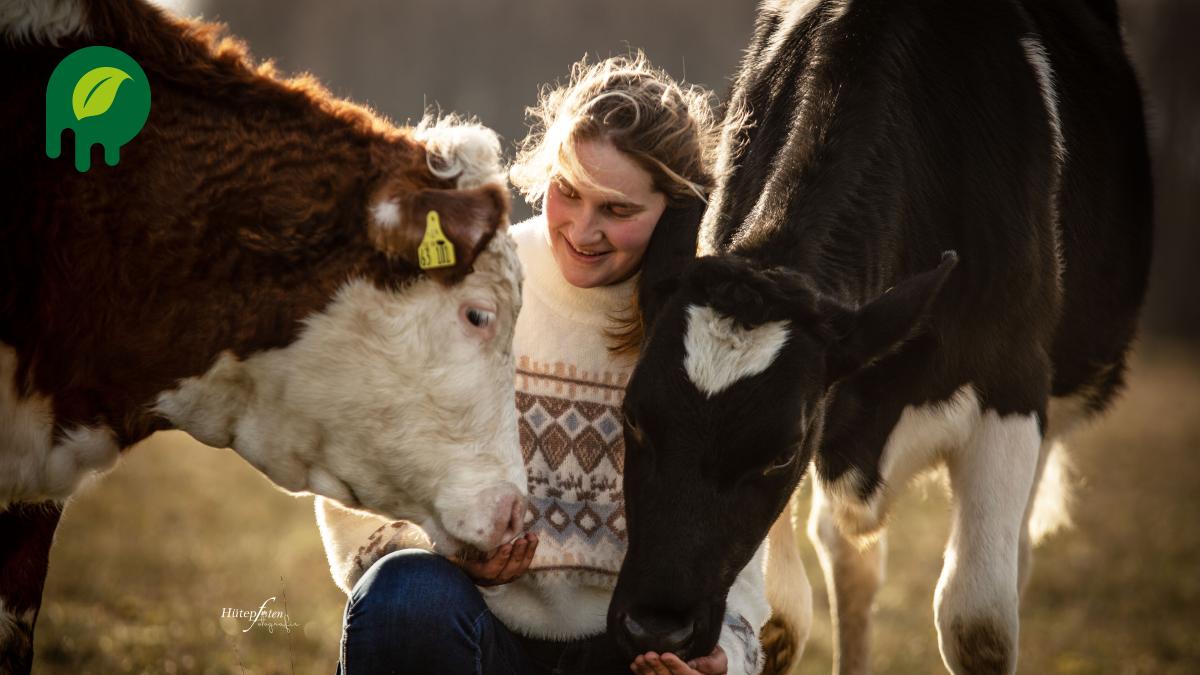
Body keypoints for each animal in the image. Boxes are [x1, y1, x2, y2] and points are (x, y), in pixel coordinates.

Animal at [609, 0, 1152, 667]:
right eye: (633, 416)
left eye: (783, 450)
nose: (655, 629)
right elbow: (780, 619)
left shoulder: (1013, 389)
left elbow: (979, 624)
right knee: (852, 561)